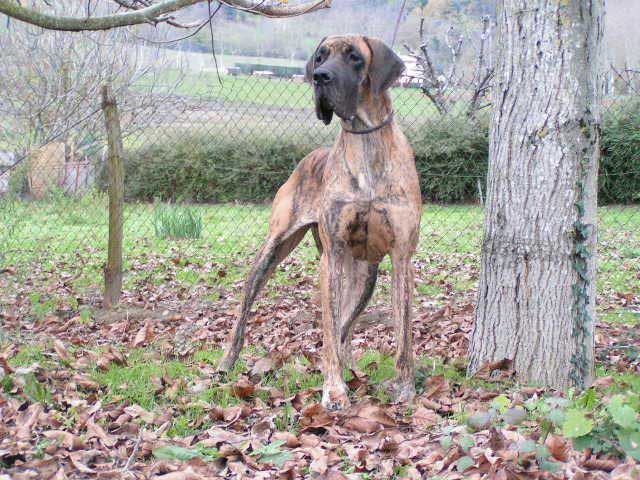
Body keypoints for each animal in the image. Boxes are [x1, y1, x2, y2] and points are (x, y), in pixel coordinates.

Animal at [222, 34, 422, 408]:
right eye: (319, 57)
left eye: (355, 56)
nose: (319, 77)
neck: (364, 138)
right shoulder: (332, 256)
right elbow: (329, 331)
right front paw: (334, 389)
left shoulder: (402, 256)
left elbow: (403, 332)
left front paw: (405, 388)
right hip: (275, 247)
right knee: (247, 306)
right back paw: (227, 362)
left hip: (365, 275)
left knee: (346, 325)